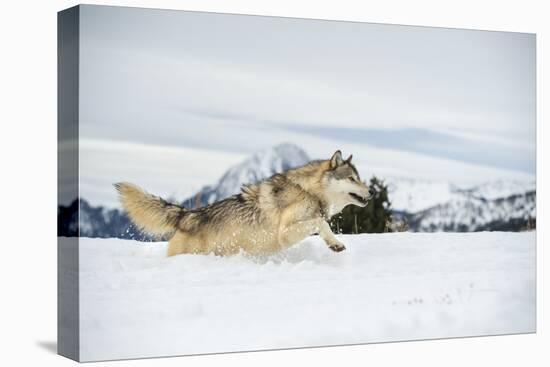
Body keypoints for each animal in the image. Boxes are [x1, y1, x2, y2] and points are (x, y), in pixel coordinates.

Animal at [116, 151, 376, 258]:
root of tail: (188, 215)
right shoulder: (285, 233)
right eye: (352, 178)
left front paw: (333, 243)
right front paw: (335, 244)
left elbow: (320, 223)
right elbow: (320, 221)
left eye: (359, 178)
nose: (373, 191)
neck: (308, 191)